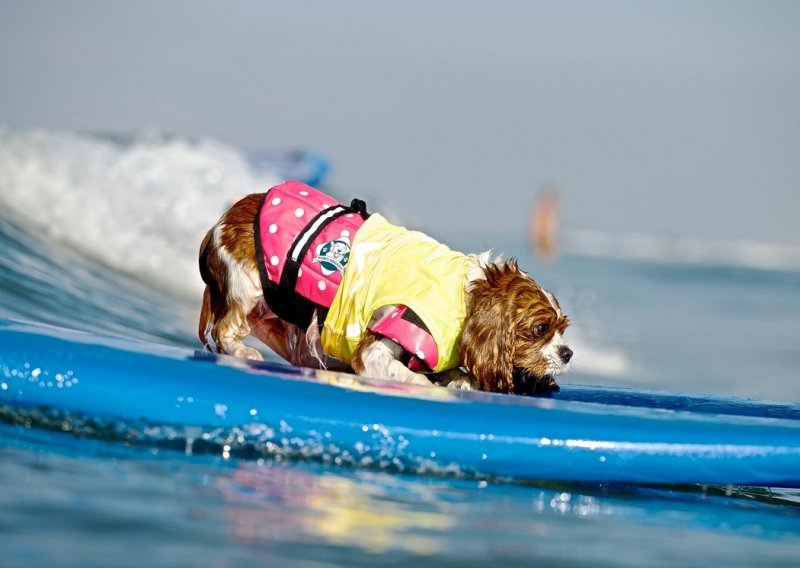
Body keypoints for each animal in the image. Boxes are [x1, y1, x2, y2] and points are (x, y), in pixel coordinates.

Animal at [200, 182, 576, 394]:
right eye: (540, 329)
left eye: (562, 329)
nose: (568, 353)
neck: (465, 297)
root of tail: (224, 219)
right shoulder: (378, 349)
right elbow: (410, 376)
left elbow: (452, 373)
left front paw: (460, 379)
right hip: (246, 287)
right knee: (224, 331)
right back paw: (242, 351)